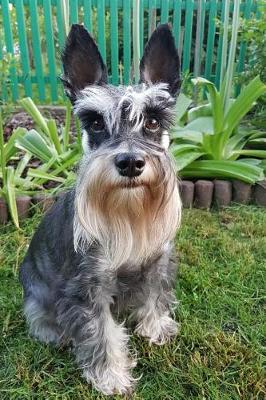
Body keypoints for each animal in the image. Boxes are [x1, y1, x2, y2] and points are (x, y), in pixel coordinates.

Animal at [19, 23, 183, 396]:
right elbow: (101, 333)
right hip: (36, 289)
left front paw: (156, 327)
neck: (128, 214)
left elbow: (155, 295)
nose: (131, 163)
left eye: (153, 121)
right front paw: (111, 377)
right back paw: (54, 332)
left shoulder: (158, 261)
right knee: (38, 313)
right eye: (95, 123)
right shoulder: (87, 286)